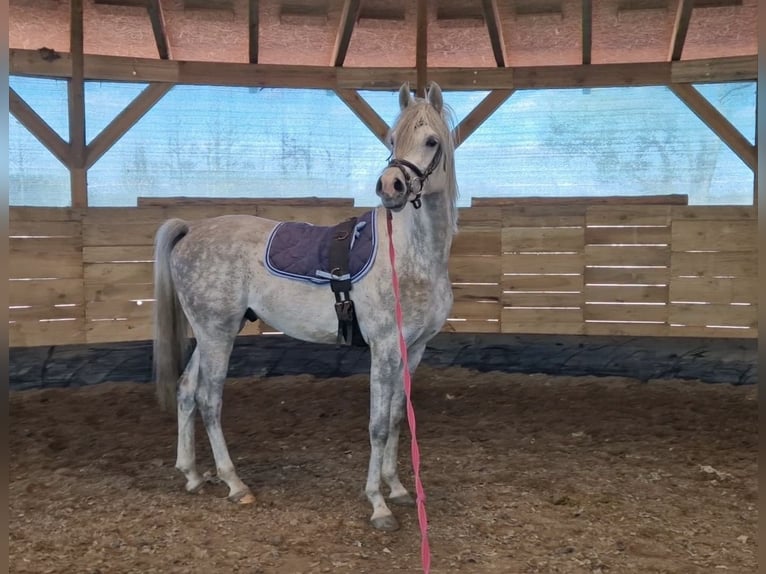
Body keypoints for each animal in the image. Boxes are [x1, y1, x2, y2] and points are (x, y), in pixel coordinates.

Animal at [153, 80, 460, 532]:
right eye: (392, 140)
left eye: (431, 141)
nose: (390, 186)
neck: (411, 255)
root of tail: (191, 231)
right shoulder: (385, 348)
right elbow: (378, 424)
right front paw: (378, 504)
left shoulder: (414, 349)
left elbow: (397, 418)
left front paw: (398, 489)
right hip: (217, 334)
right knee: (209, 399)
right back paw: (234, 483)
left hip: (210, 333)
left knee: (187, 391)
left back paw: (192, 475)